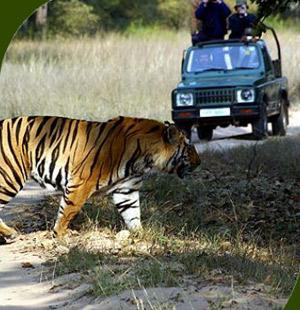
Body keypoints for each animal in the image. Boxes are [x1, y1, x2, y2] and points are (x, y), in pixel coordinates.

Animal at [0, 116, 202, 240]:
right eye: (188, 147)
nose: (200, 162)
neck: (144, 158)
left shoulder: (126, 189)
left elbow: (133, 214)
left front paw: (141, 235)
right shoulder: (80, 183)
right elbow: (68, 211)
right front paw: (59, 235)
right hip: (10, 175)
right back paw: (10, 234)